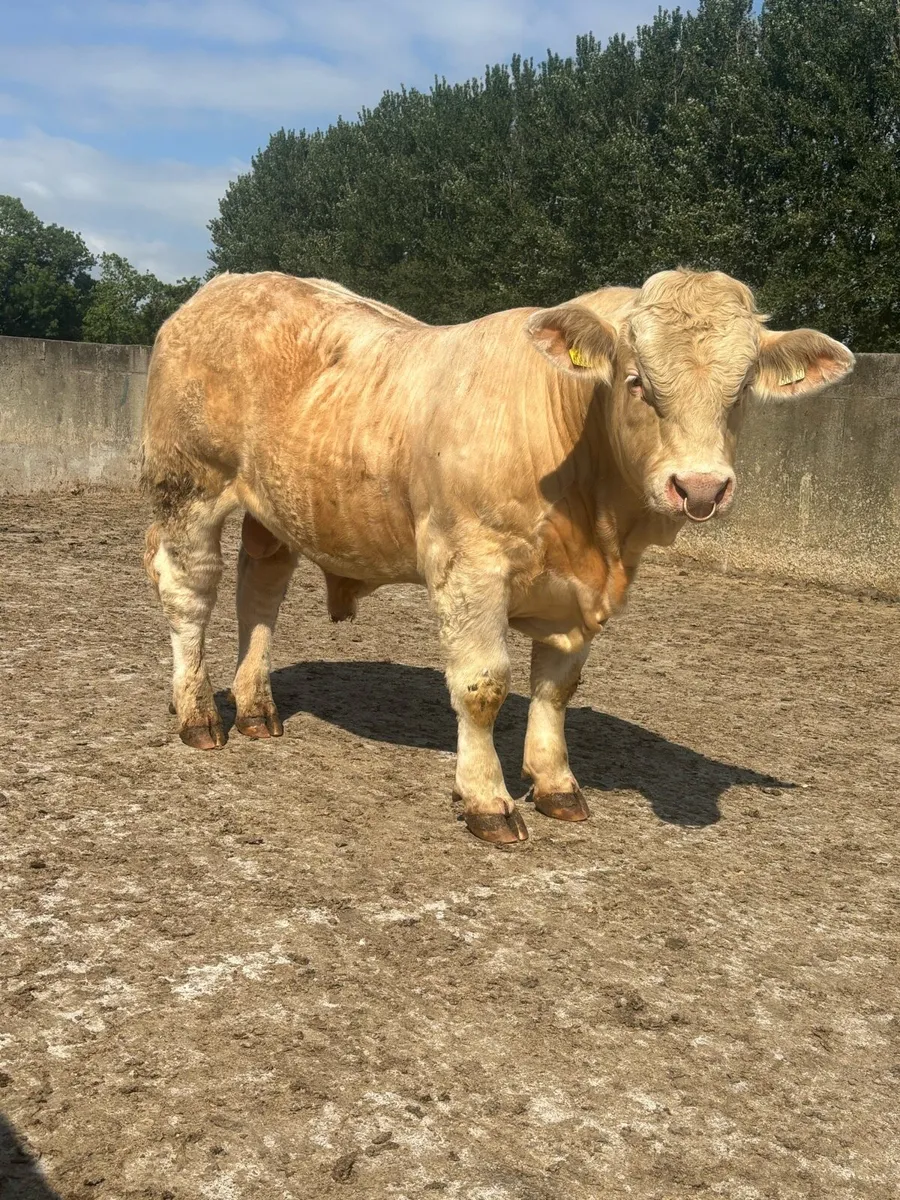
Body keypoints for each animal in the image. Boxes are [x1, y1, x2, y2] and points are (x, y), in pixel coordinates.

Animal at [141, 270, 853, 844]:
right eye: (637, 382)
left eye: (741, 392)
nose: (700, 487)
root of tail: (221, 287)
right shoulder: (470, 564)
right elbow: (482, 686)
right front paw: (488, 800)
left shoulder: (573, 593)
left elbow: (557, 688)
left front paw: (557, 784)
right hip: (188, 485)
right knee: (189, 591)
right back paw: (199, 715)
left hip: (277, 504)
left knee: (260, 588)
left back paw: (256, 708)